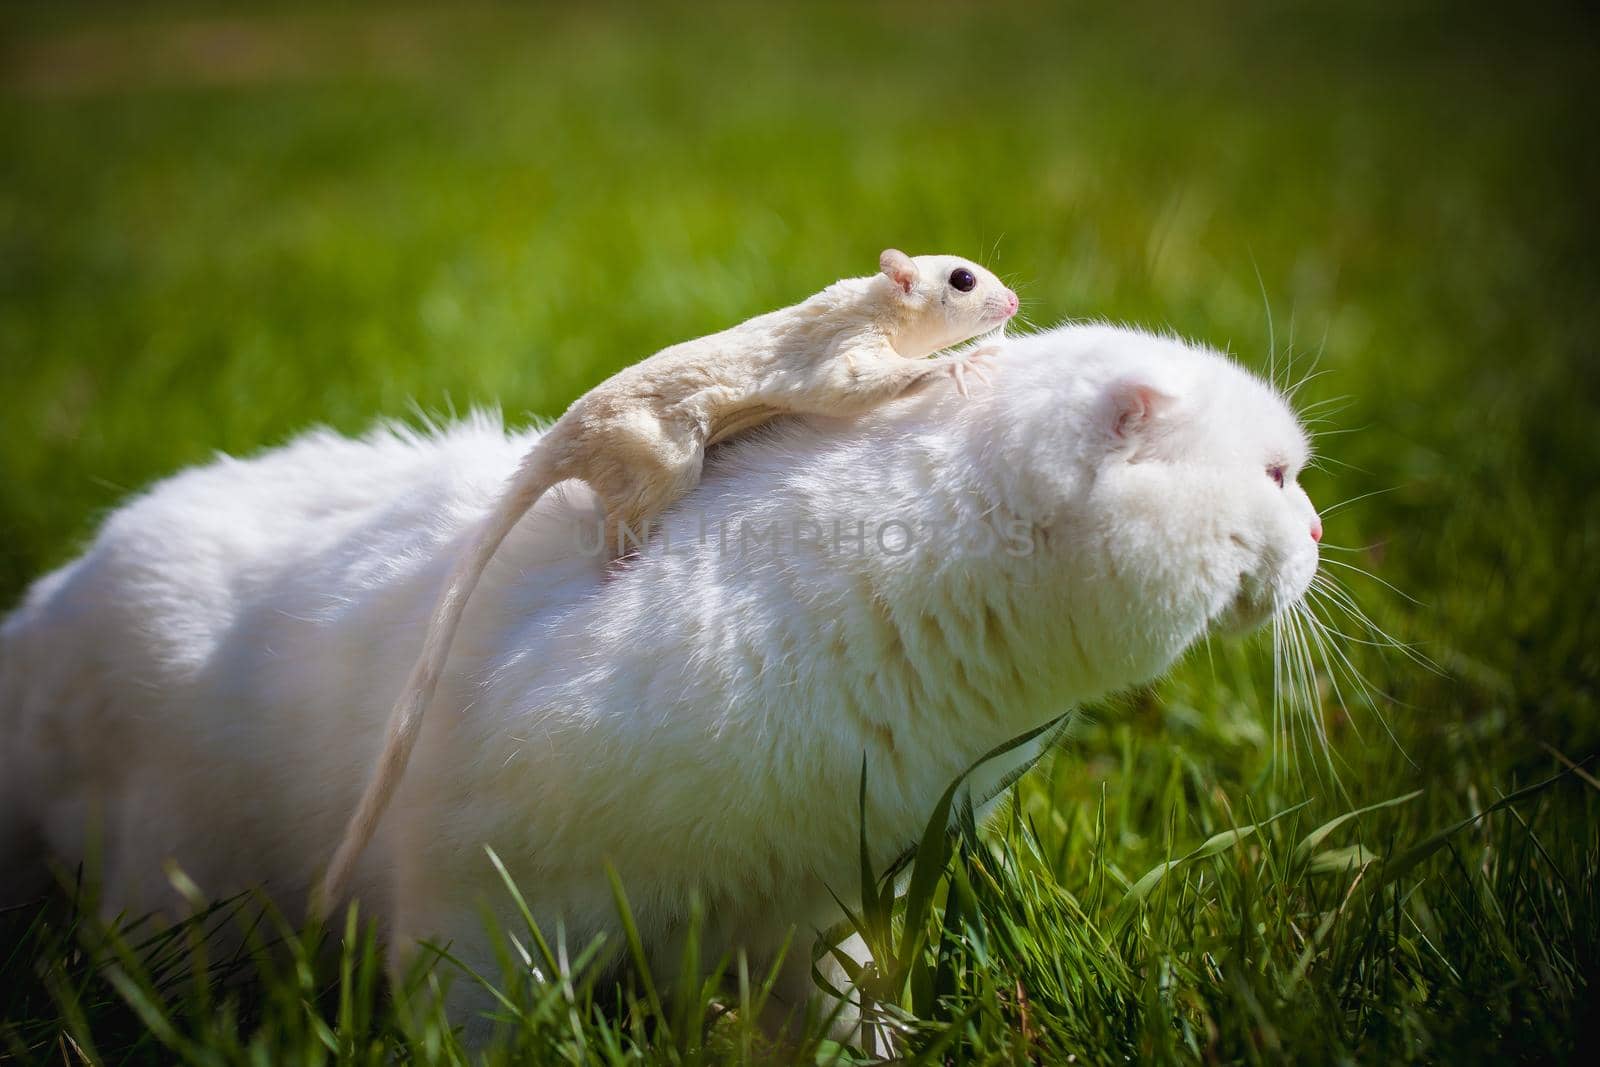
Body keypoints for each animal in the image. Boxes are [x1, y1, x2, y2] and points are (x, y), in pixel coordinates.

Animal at [0, 323, 1318, 1023]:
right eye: (1273, 476)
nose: (1317, 534)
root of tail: (41, 614)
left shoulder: (818, 901)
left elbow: (843, 1017)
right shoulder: (481, 895)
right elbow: (473, 1021)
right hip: (175, 894)